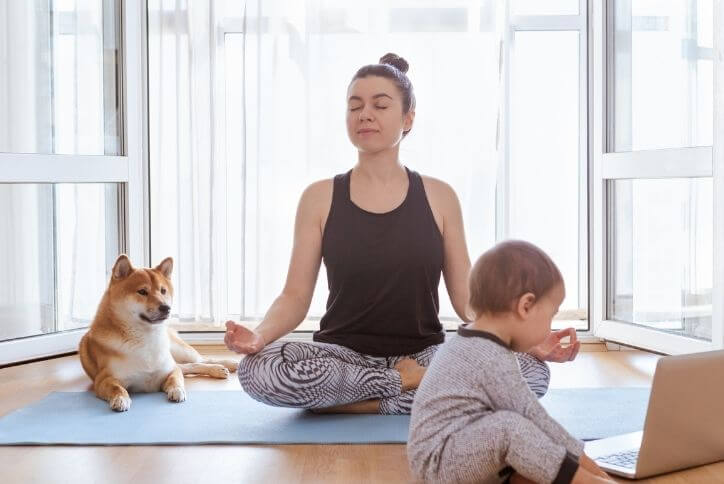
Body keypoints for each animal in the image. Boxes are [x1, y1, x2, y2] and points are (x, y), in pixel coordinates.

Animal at [79, 255, 239, 410]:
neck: (145, 338)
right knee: (190, 366)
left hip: (179, 350)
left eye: (163, 291)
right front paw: (120, 399)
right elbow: (117, 388)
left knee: (200, 360)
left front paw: (177, 390)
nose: (166, 307)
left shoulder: (170, 369)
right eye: (142, 292)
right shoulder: (104, 379)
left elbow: (176, 379)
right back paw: (221, 369)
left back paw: (226, 365)